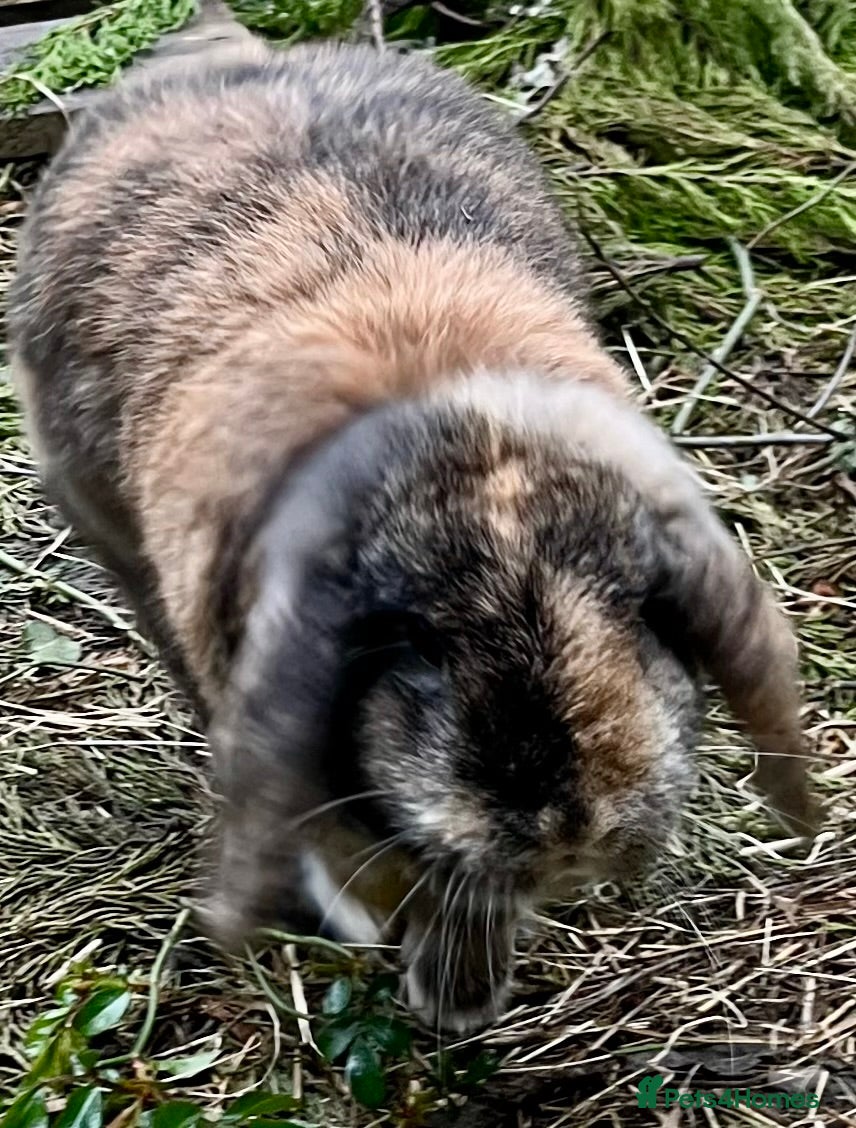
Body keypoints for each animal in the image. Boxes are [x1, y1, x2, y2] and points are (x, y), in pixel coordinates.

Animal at [8, 37, 817, 1034]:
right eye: (418, 655)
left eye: (637, 615)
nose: (570, 836)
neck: (481, 464)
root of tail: (222, 44)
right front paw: (424, 977)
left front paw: (458, 999)